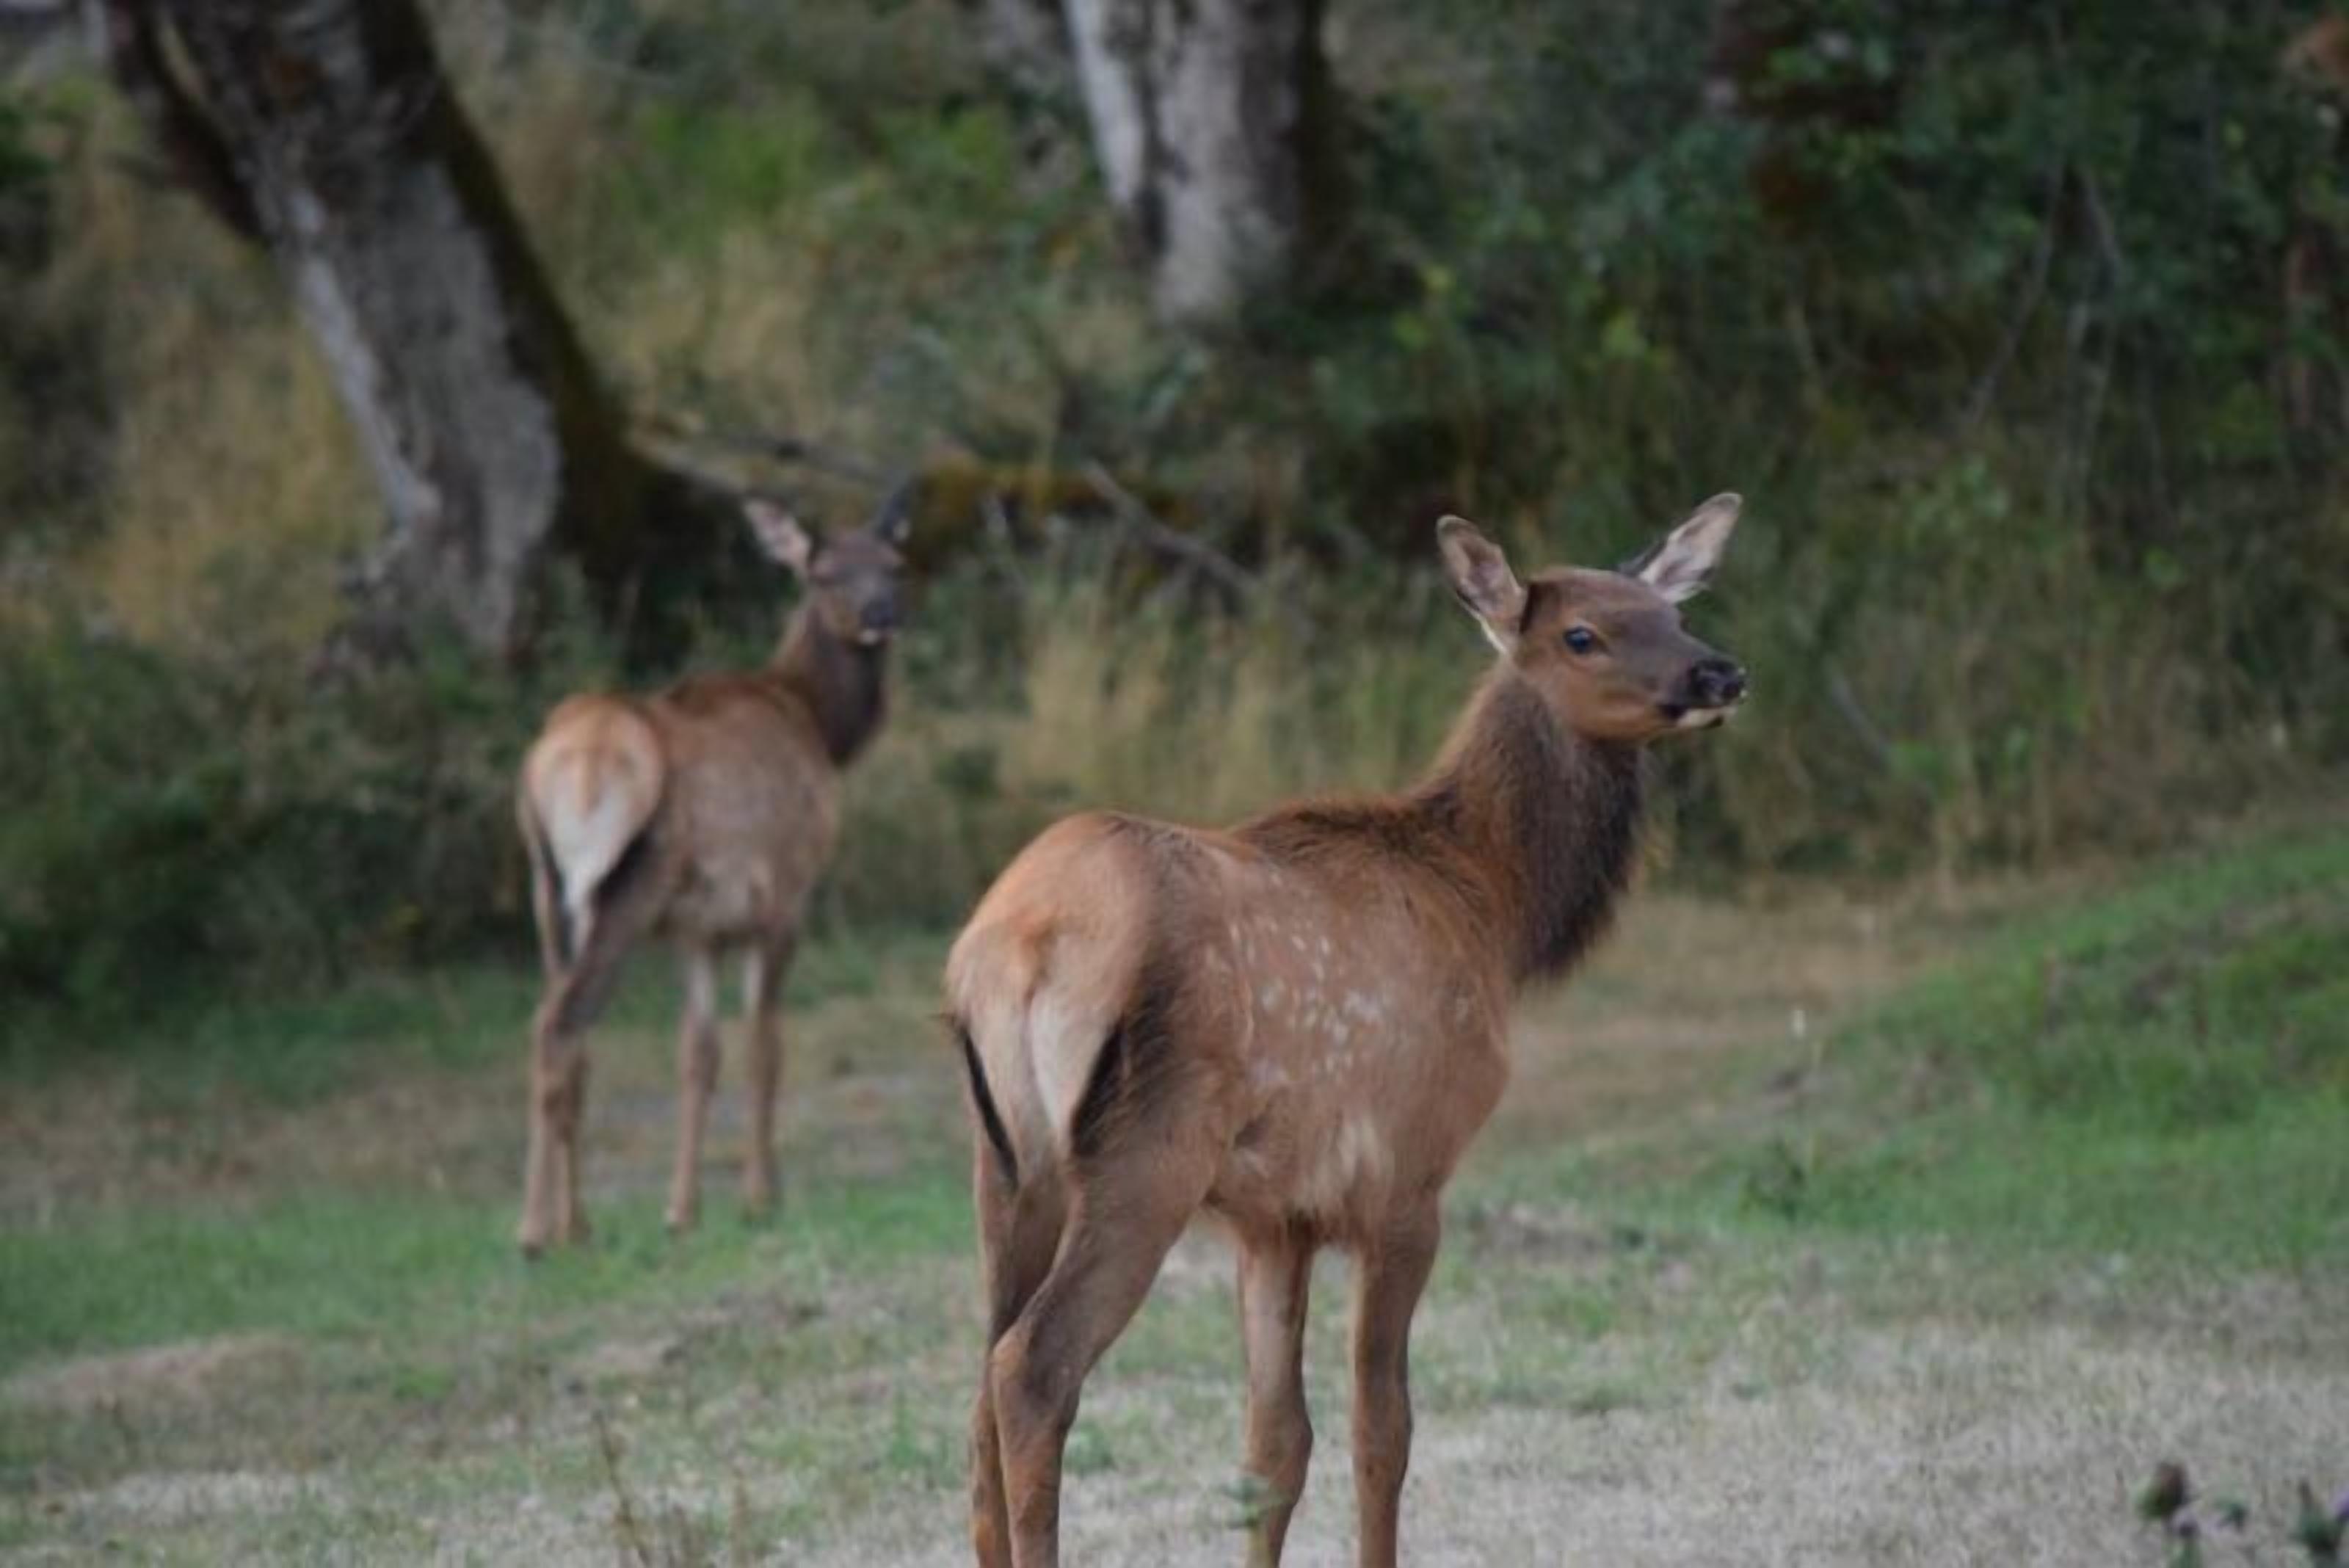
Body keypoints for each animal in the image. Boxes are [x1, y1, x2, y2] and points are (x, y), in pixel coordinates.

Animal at [513, 490, 911, 1256]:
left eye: (895, 563)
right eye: (823, 573)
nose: (881, 613)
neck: (819, 728)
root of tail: (575, 760)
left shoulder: (696, 928)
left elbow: (698, 1055)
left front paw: (683, 1209)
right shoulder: (782, 897)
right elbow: (764, 1045)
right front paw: (762, 1196)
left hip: (547, 891)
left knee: (558, 1030)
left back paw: (563, 1221)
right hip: (621, 891)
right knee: (561, 1025)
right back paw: (546, 1228)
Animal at [946, 495, 1748, 1566]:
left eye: (1674, 612)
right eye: (1583, 634)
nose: (1718, 674)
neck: (1494, 910)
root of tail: (1017, 945)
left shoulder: (1273, 1214)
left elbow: (1273, 1445)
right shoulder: (1408, 1170)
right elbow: (1384, 1428)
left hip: (1004, 1160)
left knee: (979, 1379)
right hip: (1144, 1154)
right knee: (1033, 1368)